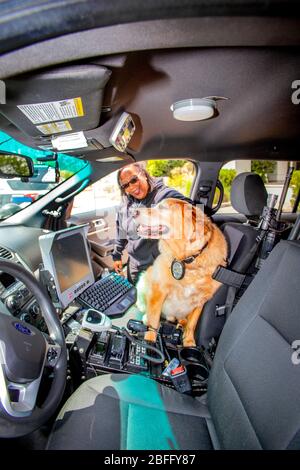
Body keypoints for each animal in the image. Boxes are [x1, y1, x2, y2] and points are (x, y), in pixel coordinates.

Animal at [134, 196, 227, 346]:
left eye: (163, 208)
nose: (133, 212)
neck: (188, 260)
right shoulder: (158, 291)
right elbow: (153, 323)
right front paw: (149, 343)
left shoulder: (201, 300)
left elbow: (192, 325)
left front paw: (189, 342)